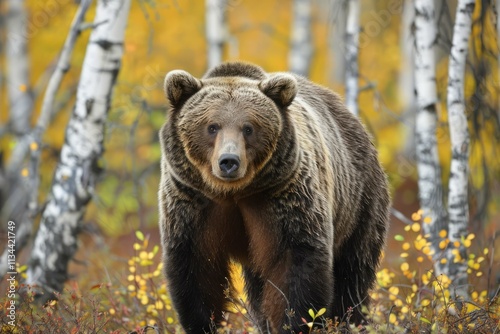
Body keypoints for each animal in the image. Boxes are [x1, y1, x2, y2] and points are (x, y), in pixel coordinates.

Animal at [158, 62, 388, 332]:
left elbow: (296, 265)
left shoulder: (285, 198)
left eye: (248, 128)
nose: (229, 161)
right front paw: (205, 323)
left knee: (352, 274)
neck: (235, 193)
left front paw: (295, 322)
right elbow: (197, 268)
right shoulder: (194, 203)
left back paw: (350, 320)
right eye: (212, 126)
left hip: (359, 202)